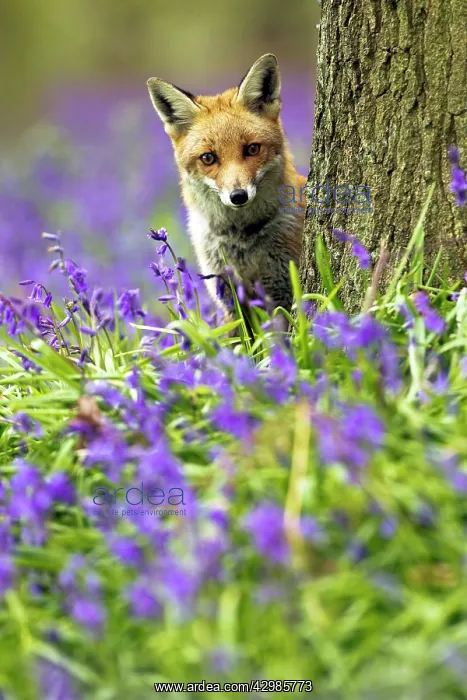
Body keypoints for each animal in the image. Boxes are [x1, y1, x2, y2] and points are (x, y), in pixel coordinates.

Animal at [147, 54, 307, 325]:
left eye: (252, 149)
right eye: (208, 158)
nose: (238, 196)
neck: (240, 238)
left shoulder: (282, 294)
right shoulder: (229, 299)